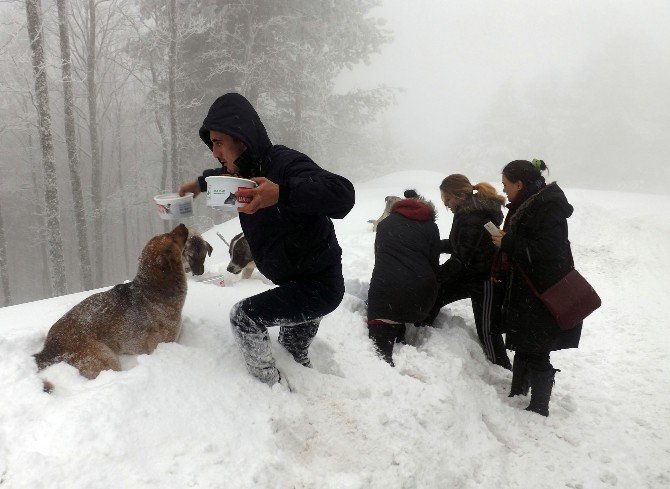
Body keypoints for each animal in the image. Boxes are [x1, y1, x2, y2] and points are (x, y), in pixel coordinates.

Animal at [34, 223, 192, 380]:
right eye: (171, 236)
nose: (182, 224)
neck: (154, 287)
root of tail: (49, 348)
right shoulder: (162, 343)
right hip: (106, 356)